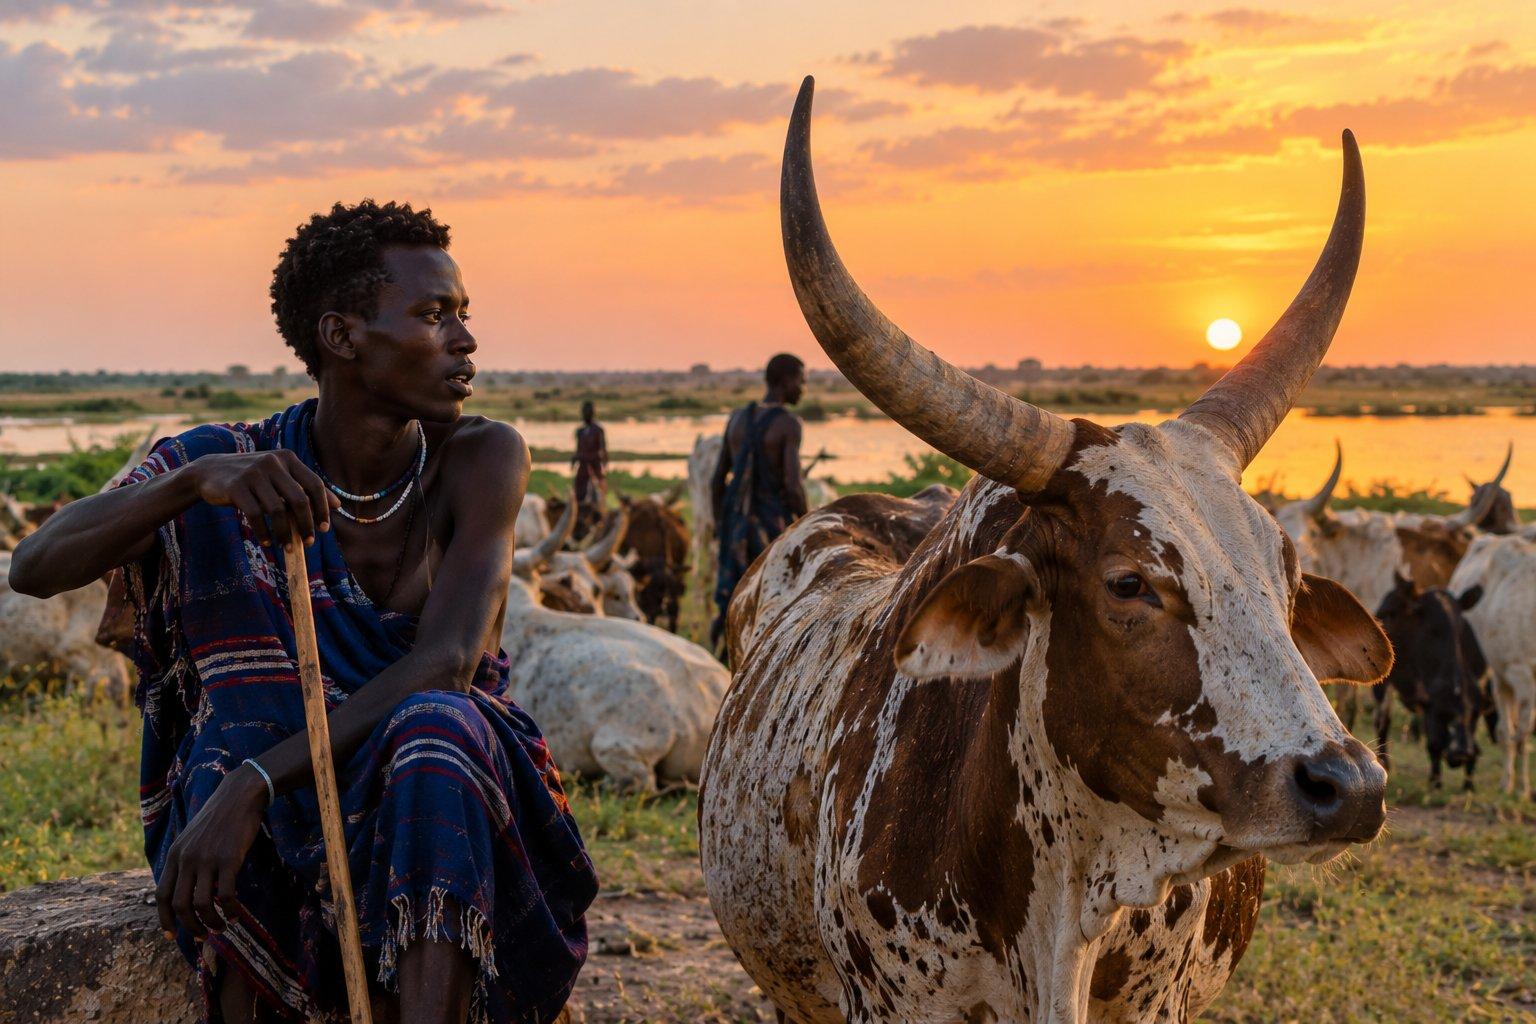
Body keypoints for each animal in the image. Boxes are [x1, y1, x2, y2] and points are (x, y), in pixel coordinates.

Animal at [1371, 575, 1491, 788]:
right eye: (1442, 714)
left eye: (1475, 714)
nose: (1462, 752)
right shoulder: (1427, 702)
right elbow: (1433, 742)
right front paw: (1435, 782)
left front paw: (1468, 784)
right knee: (1382, 719)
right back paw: (1384, 762)